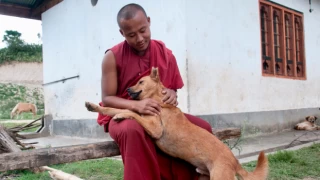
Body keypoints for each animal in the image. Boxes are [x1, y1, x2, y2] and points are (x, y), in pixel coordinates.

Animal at [85, 67, 268, 180]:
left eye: (141, 82)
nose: (128, 90)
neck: (159, 101)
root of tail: (235, 160)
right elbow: (113, 108)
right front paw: (94, 106)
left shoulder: (155, 128)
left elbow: (131, 112)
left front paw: (121, 115)